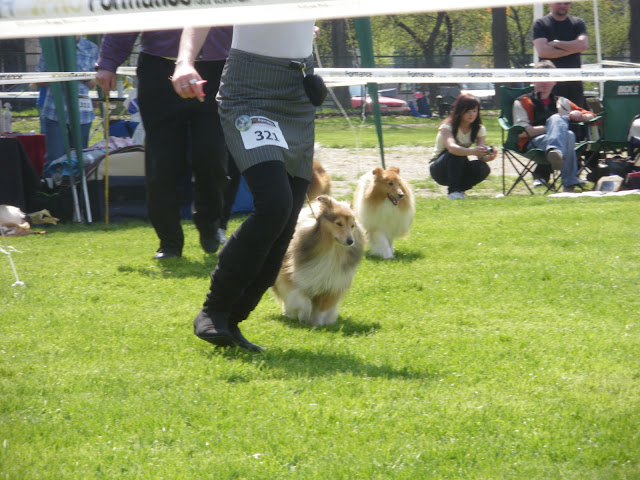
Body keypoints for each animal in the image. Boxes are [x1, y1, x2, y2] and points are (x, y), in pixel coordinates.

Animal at [272, 195, 364, 327]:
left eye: (352, 226)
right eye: (339, 223)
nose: (351, 241)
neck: (331, 251)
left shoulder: (331, 285)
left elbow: (322, 308)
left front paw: (317, 324)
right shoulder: (291, 277)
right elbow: (301, 299)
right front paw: (304, 315)